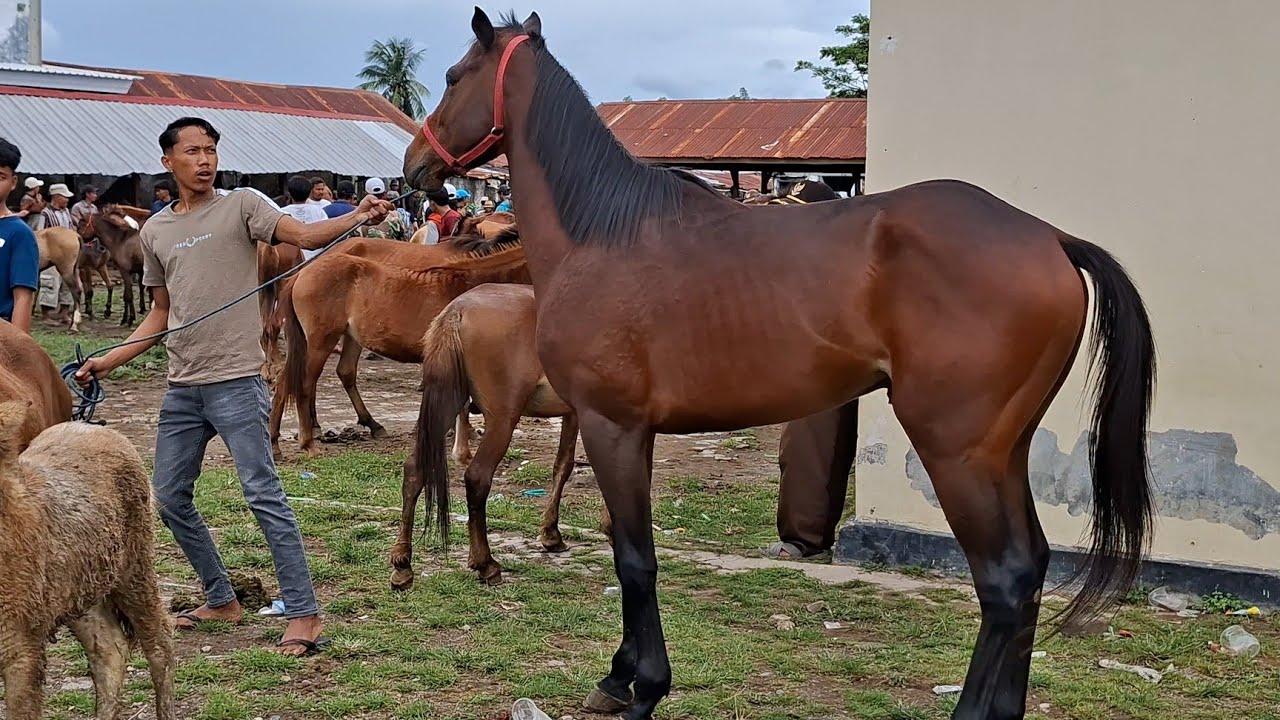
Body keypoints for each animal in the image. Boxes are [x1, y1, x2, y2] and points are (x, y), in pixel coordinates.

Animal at [269, 230, 531, 457]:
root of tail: (301, 274)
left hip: (343, 339)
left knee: (294, 381)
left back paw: (276, 443)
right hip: (319, 342)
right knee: (303, 385)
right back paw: (307, 443)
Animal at [392, 282, 590, 589]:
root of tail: (457, 310)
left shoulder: (574, 413)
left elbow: (563, 467)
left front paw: (550, 533)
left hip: (447, 402)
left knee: (415, 470)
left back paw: (403, 564)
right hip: (501, 420)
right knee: (477, 478)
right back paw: (485, 563)